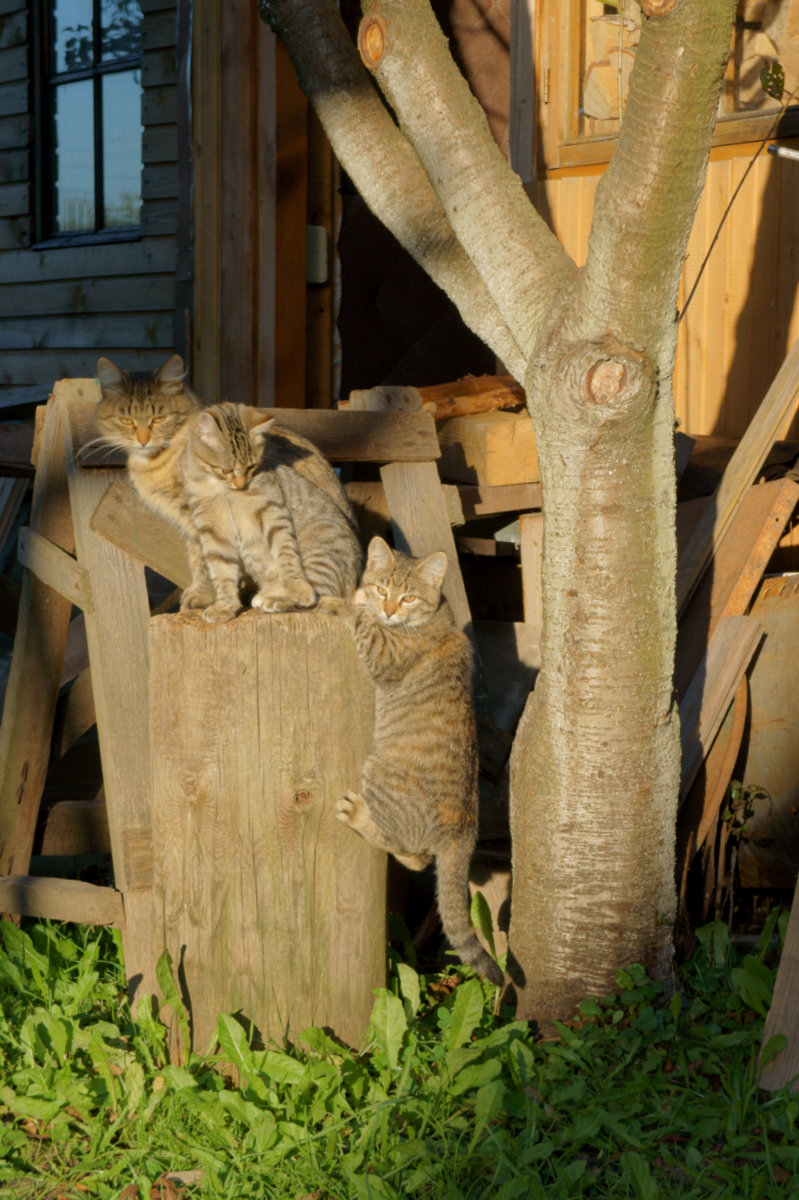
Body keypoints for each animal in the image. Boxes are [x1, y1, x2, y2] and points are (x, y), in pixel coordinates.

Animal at [94, 350, 211, 609]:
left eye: (158, 419)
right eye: (127, 421)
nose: (143, 440)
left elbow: (209, 559)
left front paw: (205, 596)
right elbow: (198, 557)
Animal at [179, 405, 359, 628]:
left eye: (250, 467)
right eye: (227, 469)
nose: (240, 483)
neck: (220, 490)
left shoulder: (272, 511)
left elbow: (287, 557)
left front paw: (298, 589)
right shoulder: (213, 531)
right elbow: (222, 572)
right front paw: (224, 607)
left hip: (317, 552)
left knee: (322, 595)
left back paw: (277, 598)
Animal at [321, 540, 499, 988]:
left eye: (409, 597)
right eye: (385, 588)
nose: (389, 609)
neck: (436, 614)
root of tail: (464, 830)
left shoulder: (382, 649)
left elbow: (362, 621)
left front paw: (345, 603)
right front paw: (361, 598)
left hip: (376, 770)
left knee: (416, 856)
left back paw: (359, 815)